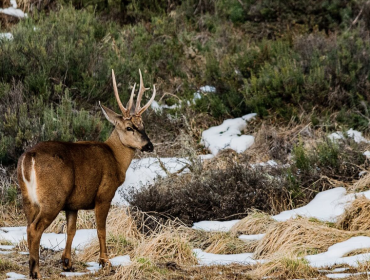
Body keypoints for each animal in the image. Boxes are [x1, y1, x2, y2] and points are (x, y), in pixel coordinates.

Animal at [16, 69, 155, 278]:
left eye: (144, 124)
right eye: (129, 127)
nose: (149, 145)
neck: (115, 157)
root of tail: (28, 157)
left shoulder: (73, 204)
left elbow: (72, 230)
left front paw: (67, 263)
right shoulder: (104, 194)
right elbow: (101, 229)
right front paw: (106, 263)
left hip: (28, 198)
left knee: (27, 226)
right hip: (53, 198)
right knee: (34, 229)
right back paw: (36, 272)